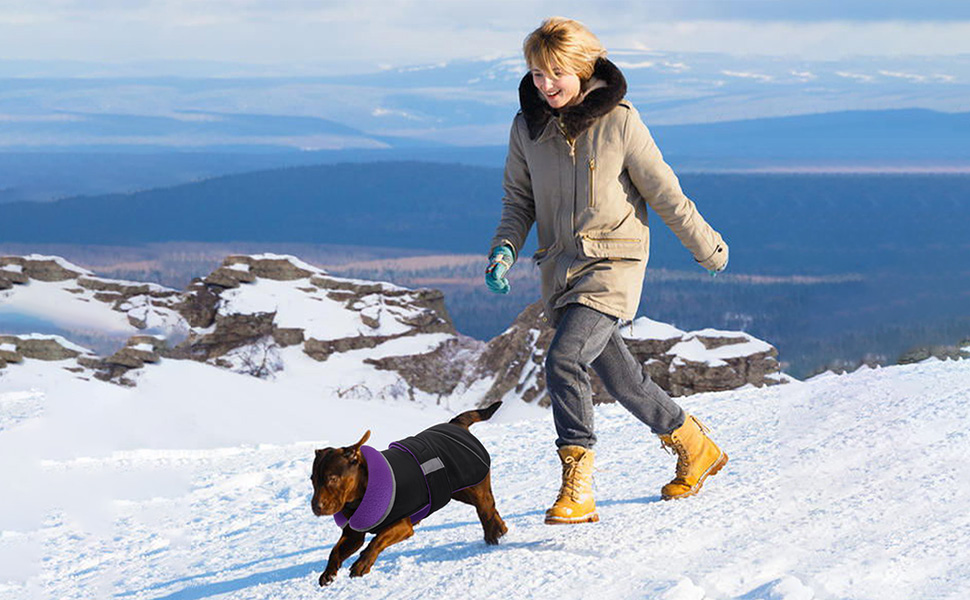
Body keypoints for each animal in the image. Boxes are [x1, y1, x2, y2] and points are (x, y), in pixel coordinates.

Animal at [310, 400, 506, 584]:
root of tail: (456, 424)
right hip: (458, 491)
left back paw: (492, 534)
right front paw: (329, 572)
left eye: (332, 479)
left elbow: (377, 540)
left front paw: (362, 564)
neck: (361, 494)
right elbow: (335, 551)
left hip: (474, 486)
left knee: (486, 510)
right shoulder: (353, 535)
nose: (316, 507)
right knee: (491, 509)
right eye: (312, 479)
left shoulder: (403, 526)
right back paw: (500, 529)